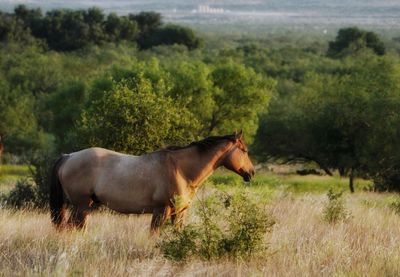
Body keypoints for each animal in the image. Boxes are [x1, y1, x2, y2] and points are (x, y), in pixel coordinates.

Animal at [50, 130, 255, 232]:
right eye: (244, 150)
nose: (251, 173)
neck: (180, 170)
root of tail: (68, 157)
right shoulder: (161, 211)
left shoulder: (179, 213)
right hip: (81, 206)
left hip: (85, 207)